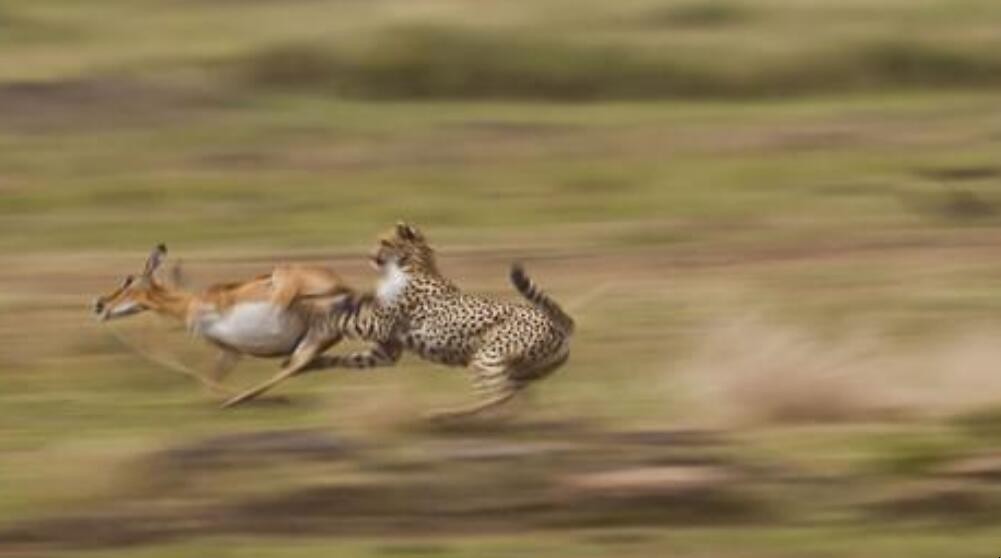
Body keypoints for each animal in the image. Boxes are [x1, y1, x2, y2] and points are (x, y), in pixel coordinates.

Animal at [308, 222, 576, 416]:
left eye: (384, 242)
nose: (369, 255)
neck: (411, 264)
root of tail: (557, 322)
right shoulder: (386, 351)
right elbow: (349, 357)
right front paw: (314, 362)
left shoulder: (378, 325)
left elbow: (340, 320)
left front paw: (317, 319)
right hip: (523, 370)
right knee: (514, 395)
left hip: (486, 356)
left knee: (498, 396)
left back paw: (448, 414)